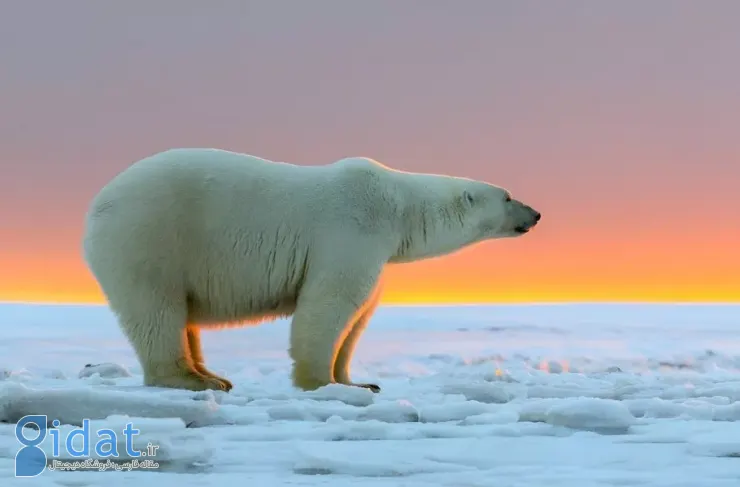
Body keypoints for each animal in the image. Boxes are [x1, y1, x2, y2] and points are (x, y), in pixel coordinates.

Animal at [84, 148, 540, 392]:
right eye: (507, 196)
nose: (535, 213)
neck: (396, 205)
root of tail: (97, 206)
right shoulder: (351, 230)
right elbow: (330, 302)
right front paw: (321, 382)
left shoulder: (378, 250)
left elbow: (359, 316)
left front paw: (358, 381)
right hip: (150, 235)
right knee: (156, 309)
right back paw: (194, 379)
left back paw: (211, 373)